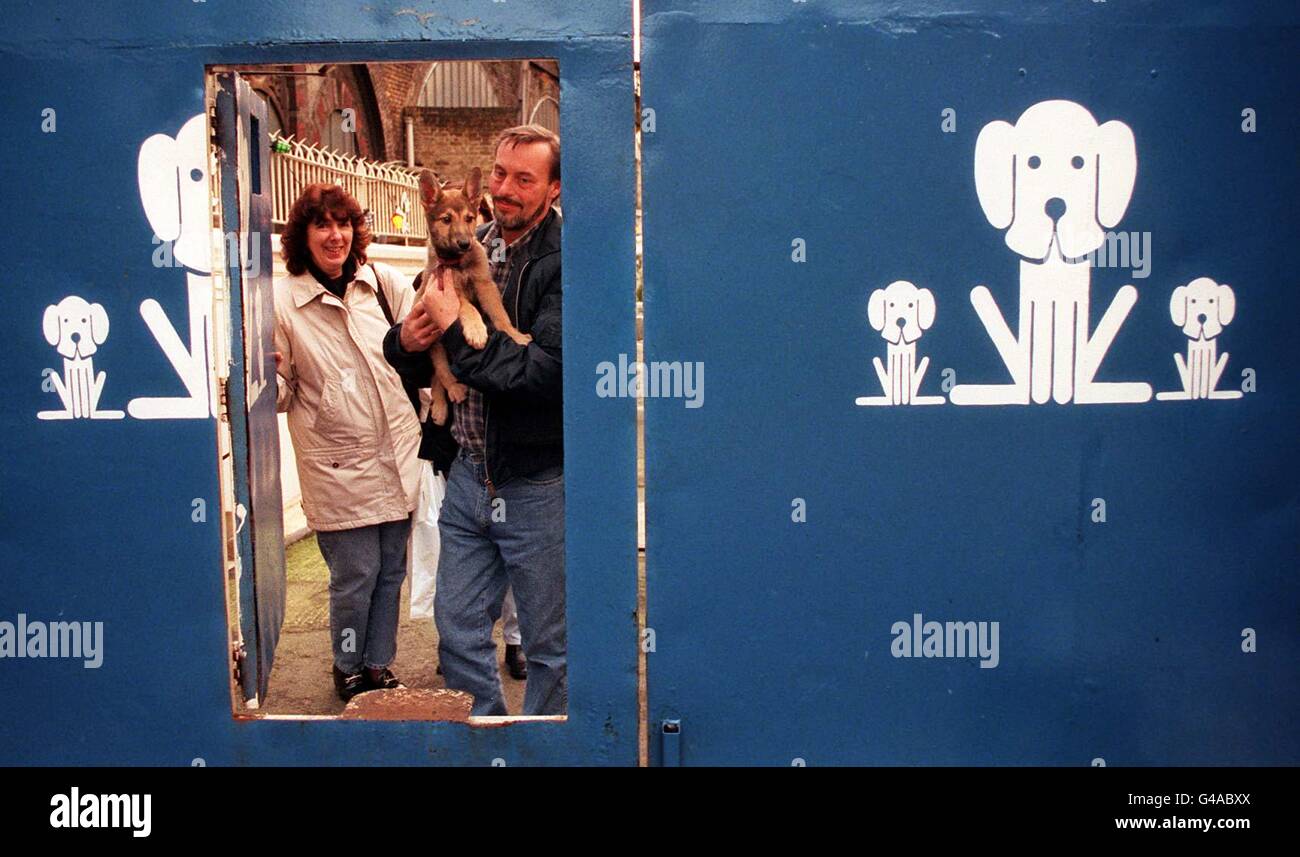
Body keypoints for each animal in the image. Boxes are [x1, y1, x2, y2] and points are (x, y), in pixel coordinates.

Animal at [421, 167, 533, 426]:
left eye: (469, 219)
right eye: (446, 220)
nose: (464, 243)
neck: (459, 263)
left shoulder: (484, 285)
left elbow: (500, 315)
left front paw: (516, 335)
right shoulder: (450, 292)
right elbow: (468, 309)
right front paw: (476, 330)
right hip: (435, 344)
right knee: (441, 372)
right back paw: (447, 398)